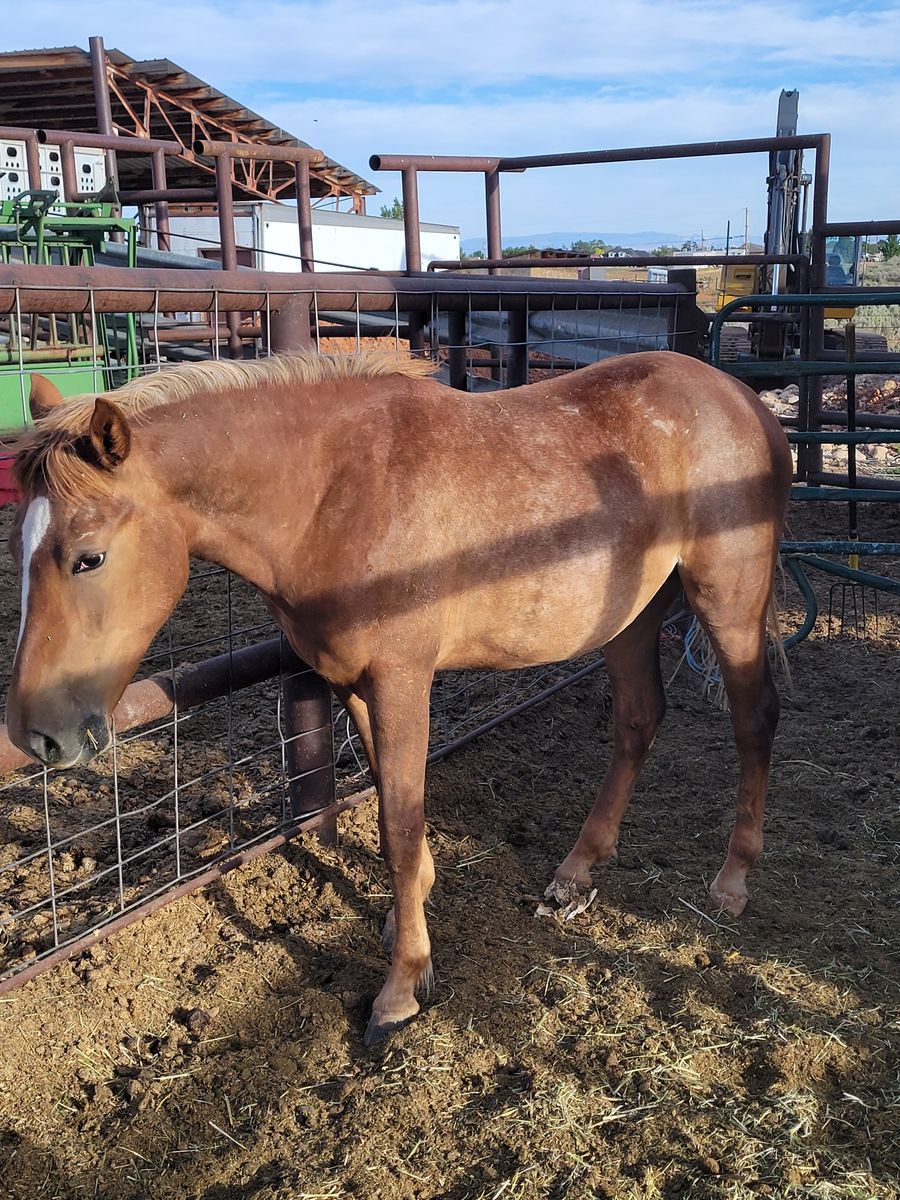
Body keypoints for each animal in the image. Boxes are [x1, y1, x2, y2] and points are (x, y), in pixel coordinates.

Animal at [5, 351, 792, 1045]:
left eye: (89, 558)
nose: (38, 737)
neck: (332, 494)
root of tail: (743, 399)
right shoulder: (353, 681)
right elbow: (391, 803)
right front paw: (407, 916)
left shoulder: (402, 679)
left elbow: (400, 821)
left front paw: (402, 987)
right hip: (632, 613)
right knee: (636, 721)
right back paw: (575, 872)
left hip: (728, 600)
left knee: (755, 718)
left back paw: (733, 879)